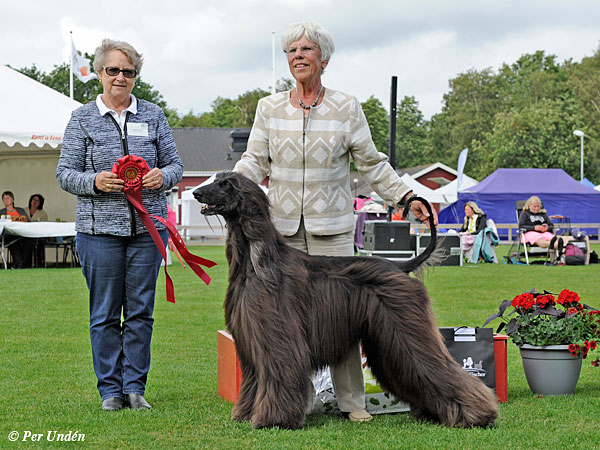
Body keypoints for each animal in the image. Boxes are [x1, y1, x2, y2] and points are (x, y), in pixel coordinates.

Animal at [192, 171, 496, 428]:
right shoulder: (249, 339)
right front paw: (245, 414)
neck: (256, 263)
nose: (196, 193)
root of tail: (400, 267)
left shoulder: (278, 339)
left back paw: (477, 414)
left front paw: (273, 420)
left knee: (438, 368)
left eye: (227, 185)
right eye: (216, 179)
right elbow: (253, 381)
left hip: (407, 328)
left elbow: (279, 376)